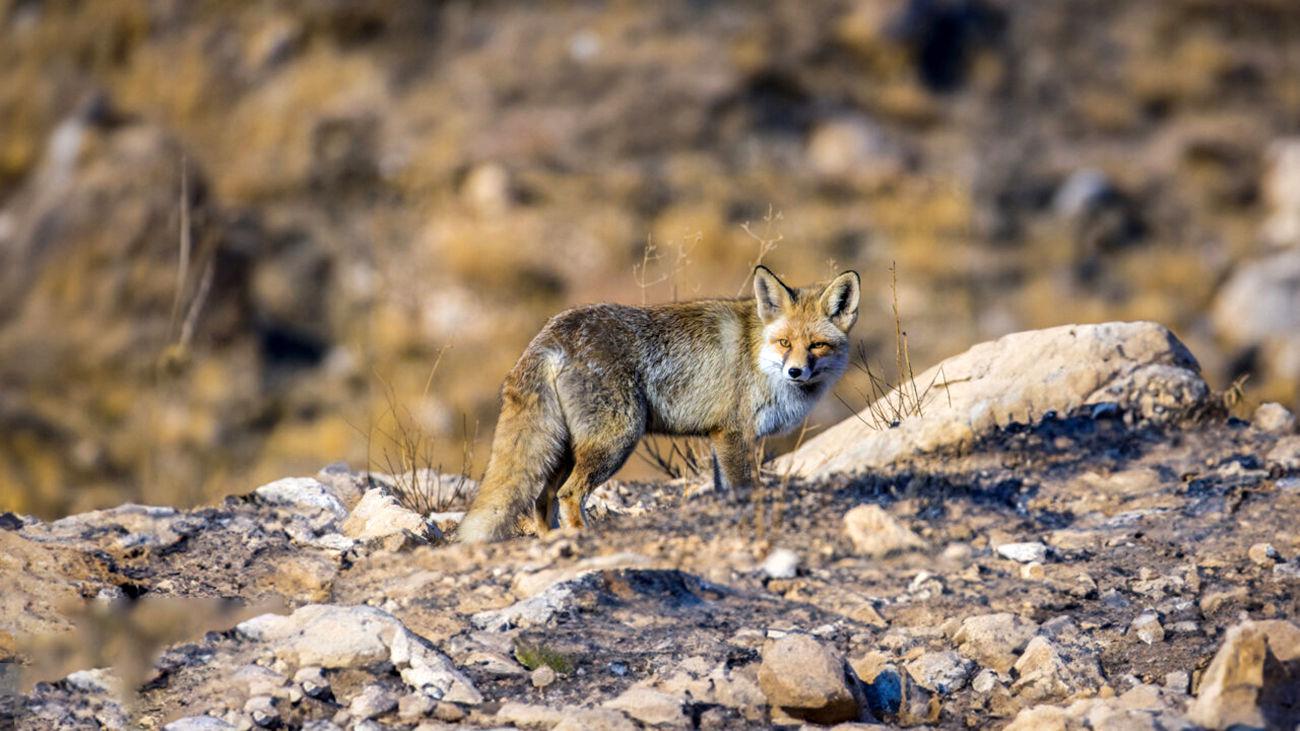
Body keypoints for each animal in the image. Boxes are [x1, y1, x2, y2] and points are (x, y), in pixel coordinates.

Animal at [457, 264, 863, 538]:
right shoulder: (734, 434)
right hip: (616, 440)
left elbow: (722, 491)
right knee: (569, 494)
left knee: (544, 499)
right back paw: (583, 539)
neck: (757, 353)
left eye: (817, 345)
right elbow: (745, 489)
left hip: (566, 447)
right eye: (784, 343)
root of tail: (551, 331)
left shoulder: (718, 438)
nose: (795, 372)